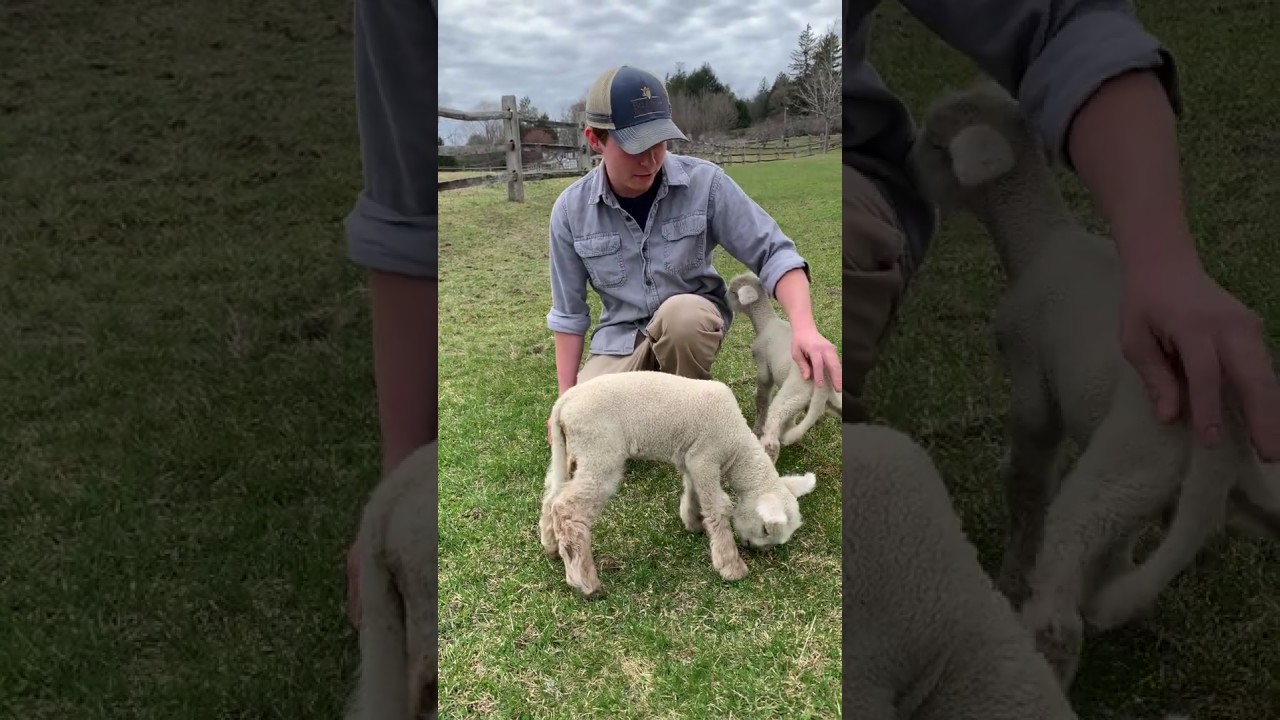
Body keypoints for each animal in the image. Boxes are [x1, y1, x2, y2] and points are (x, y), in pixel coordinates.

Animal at [537, 370, 818, 598]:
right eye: (766, 530)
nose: (756, 550)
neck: (736, 446)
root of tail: (564, 404)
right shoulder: (706, 457)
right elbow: (718, 507)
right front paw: (731, 566)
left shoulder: (692, 459)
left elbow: (694, 493)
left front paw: (694, 523)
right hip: (599, 451)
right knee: (568, 510)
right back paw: (584, 583)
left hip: (572, 453)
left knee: (551, 497)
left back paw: (552, 547)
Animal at [726, 271, 841, 460]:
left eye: (733, 291)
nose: (723, 296)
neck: (766, 321)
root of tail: (823, 380)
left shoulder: (763, 367)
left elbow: (762, 399)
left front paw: (757, 428)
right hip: (831, 399)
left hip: (791, 395)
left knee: (772, 436)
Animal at [907, 80, 1280, 687]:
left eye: (936, 144)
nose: (905, 162)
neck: (1037, 237)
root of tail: (1219, 434)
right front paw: (1105, 580)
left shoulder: (1032, 376)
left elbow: (1027, 480)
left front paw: (1013, 576)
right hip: (1244, 483)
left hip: (1119, 472)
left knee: (1060, 608)